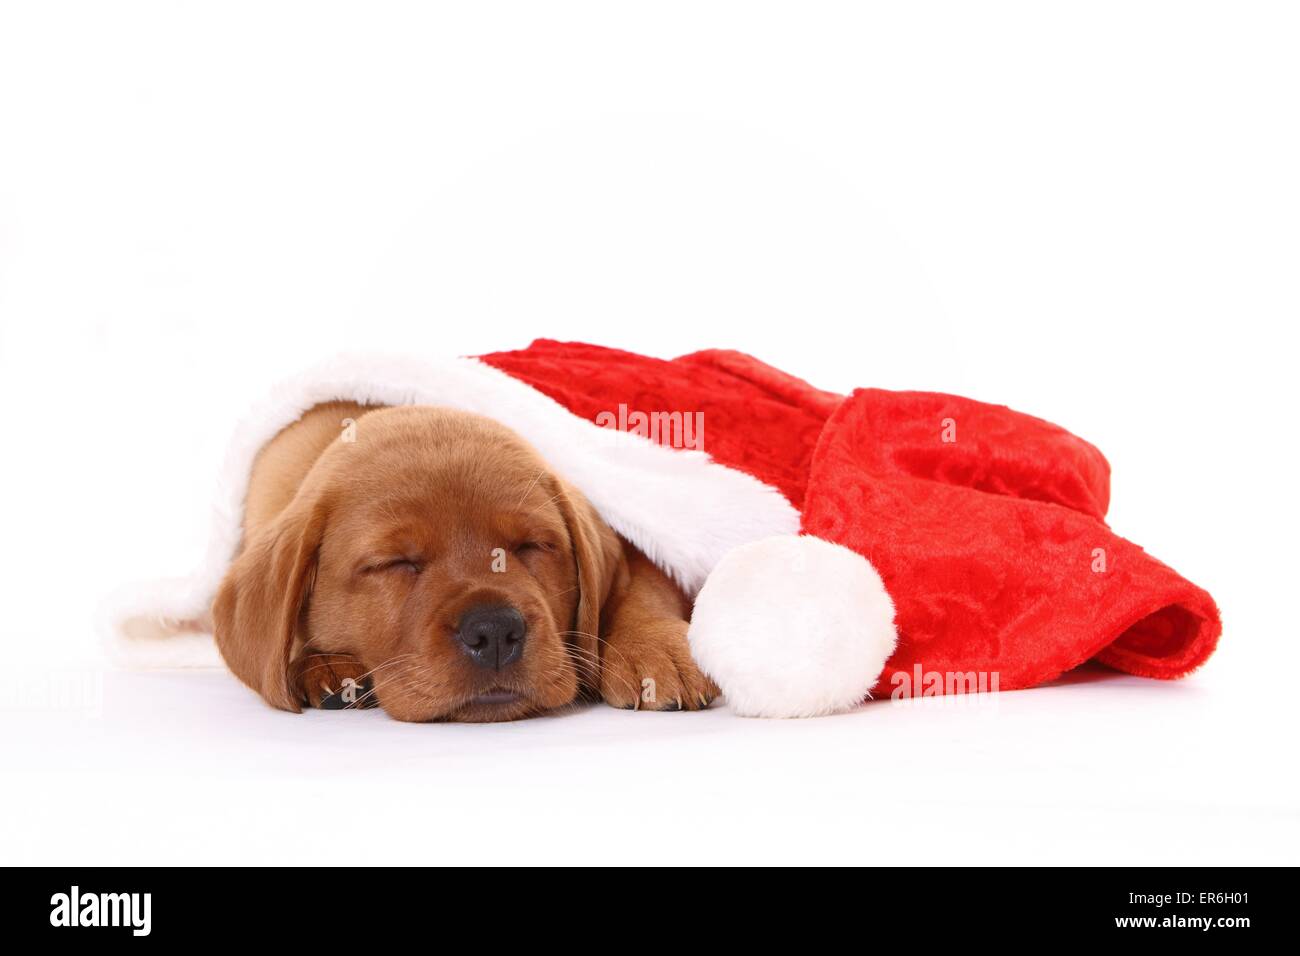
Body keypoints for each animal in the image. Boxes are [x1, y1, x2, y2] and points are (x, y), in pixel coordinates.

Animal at [215, 400, 722, 723]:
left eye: (531, 546)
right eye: (395, 562)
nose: (494, 631)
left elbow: (641, 583)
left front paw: (655, 648)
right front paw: (323, 662)